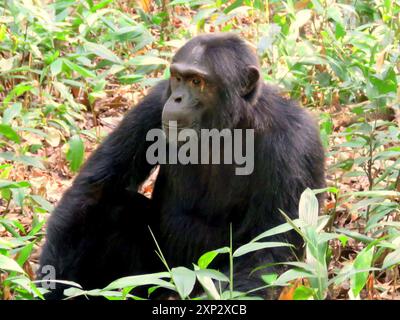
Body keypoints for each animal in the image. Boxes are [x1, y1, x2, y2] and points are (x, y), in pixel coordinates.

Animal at [38, 32, 324, 298]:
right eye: (177, 77)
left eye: (197, 81)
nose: (176, 98)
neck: (228, 125)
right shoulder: (153, 104)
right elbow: (96, 187)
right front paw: (52, 284)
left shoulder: (294, 144)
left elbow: (267, 250)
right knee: (113, 205)